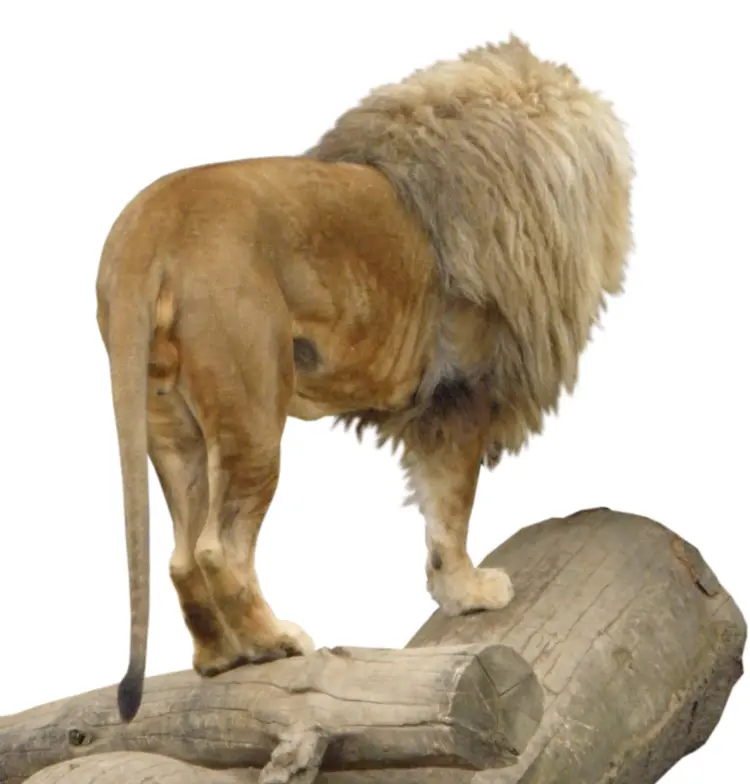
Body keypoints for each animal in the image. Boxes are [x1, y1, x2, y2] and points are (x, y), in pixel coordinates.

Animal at [95, 36, 633, 722]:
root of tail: (151, 222)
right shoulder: (462, 391)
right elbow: (452, 507)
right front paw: (470, 591)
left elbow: (438, 507)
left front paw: (454, 591)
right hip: (253, 412)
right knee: (220, 549)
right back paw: (274, 642)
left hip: (168, 424)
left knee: (183, 558)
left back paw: (220, 658)